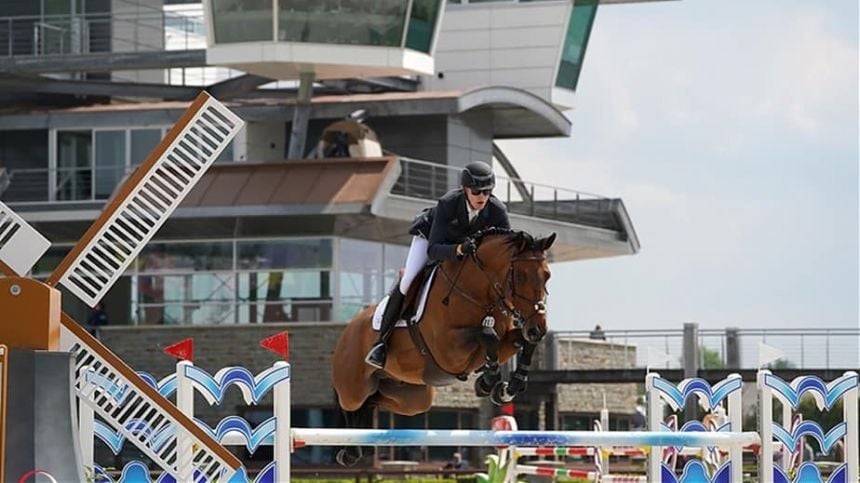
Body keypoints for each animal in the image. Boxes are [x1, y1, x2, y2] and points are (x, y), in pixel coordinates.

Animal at [330, 229, 556, 466]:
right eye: (520, 276)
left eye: (547, 275)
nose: (539, 328)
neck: (478, 293)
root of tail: (348, 329)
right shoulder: (448, 350)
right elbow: (488, 335)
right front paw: (487, 382)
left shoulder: (506, 341)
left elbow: (521, 342)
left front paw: (507, 388)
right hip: (354, 388)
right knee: (351, 404)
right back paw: (349, 451)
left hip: (412, 398)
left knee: (373, 400)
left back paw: (355, 447)